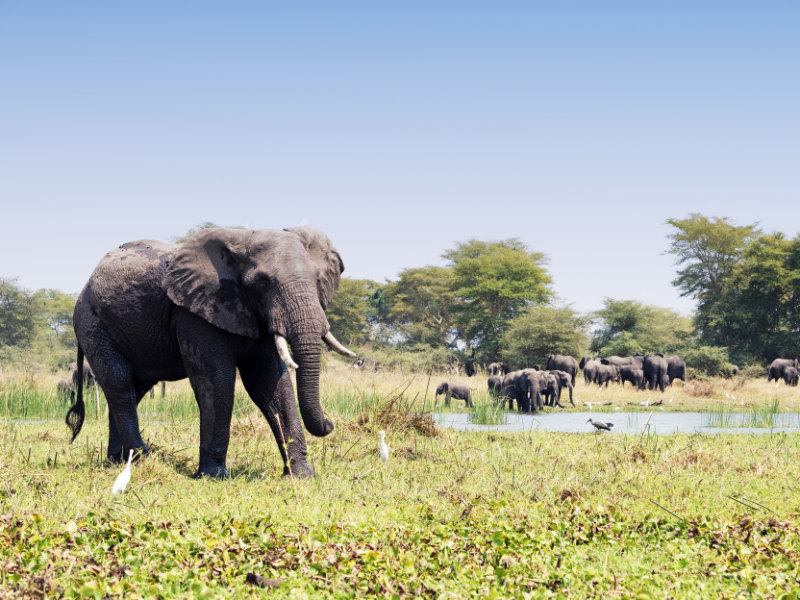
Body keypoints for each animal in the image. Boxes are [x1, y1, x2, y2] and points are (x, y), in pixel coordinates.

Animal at [64, 225, 358, 478]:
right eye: (263, 283)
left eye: (317, 280)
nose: (330, 424)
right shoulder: (193, 312)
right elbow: (217, 380)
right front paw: (212, 476)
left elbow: (270, 383)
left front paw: (302, 476)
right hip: (92, 323)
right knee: (121, 385)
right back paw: (140, 460)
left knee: (134, 390)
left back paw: (116, 461)